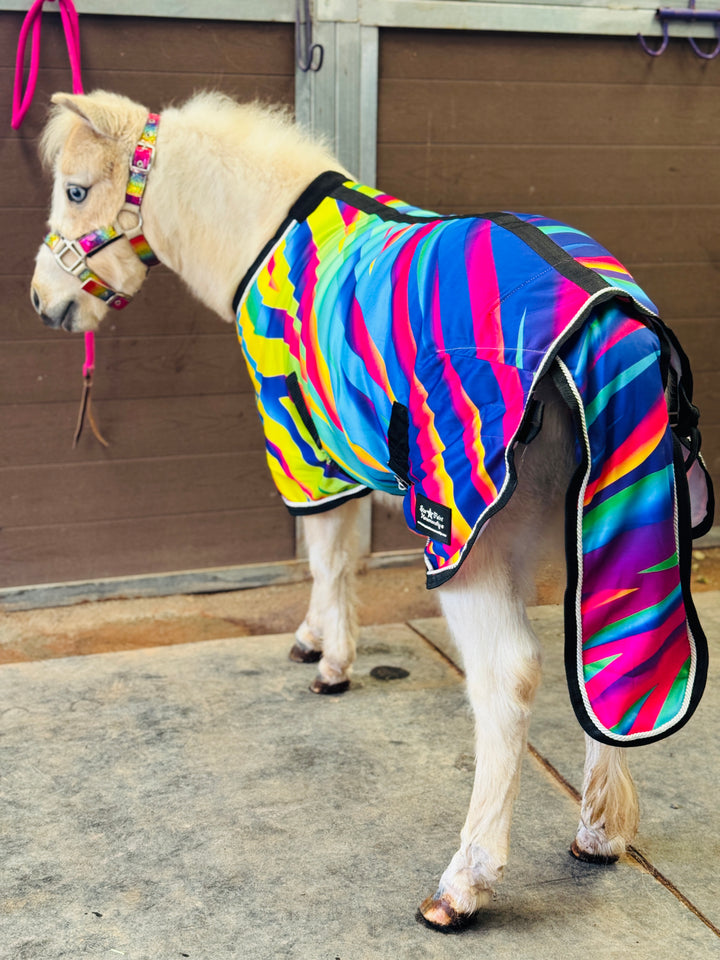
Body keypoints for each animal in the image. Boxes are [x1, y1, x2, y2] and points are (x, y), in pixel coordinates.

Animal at [30, 90, 712, 931]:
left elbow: (325, 553)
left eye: (77, 190)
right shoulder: (343, 455)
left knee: (509, 680)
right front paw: (317, 638)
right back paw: (600, 830)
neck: (269, 229)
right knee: (614, 660)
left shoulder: (301, 443)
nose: (43, 301)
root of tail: (612, 323)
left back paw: (462, 884)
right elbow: (344, 555)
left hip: (470, 541)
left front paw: (330, 663)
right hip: (612, 525)